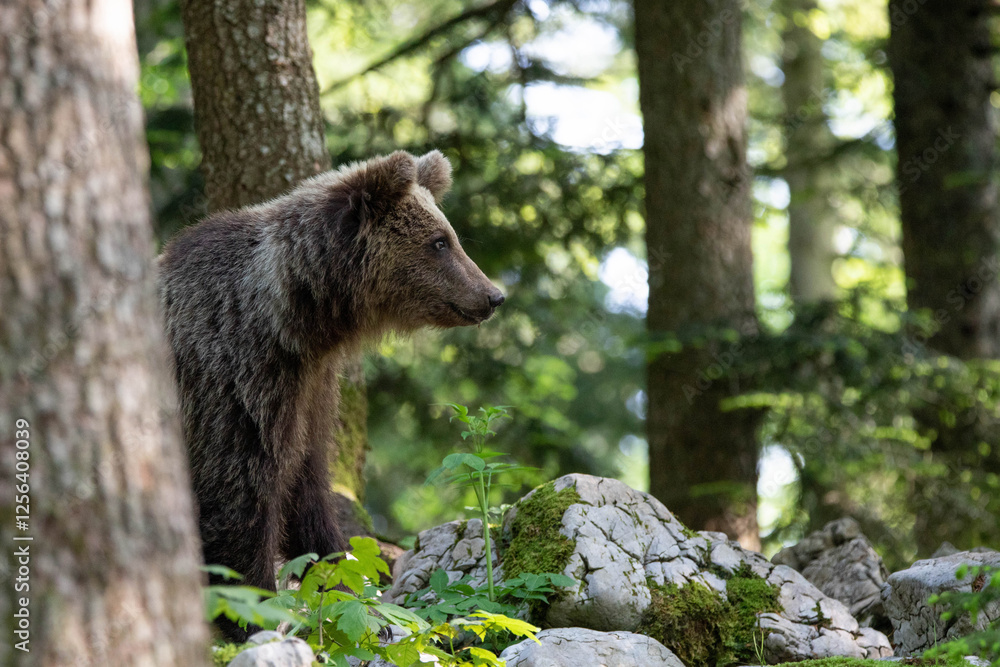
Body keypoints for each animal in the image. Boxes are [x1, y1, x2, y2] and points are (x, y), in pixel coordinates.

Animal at [158, 150, 504, 640]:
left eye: (451, 236)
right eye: (440, 242)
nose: (493, 295)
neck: (292, 319)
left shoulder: (311, 391)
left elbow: (308, 494)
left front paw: (354, 599)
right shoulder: (233, 379)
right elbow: (237, 497)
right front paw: (256, 615)